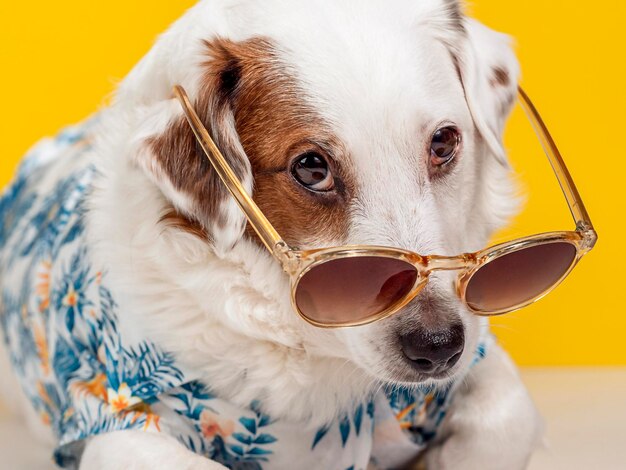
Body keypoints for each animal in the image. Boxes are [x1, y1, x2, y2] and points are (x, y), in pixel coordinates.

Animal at [0, 0, 540, 470]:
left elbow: (505, 418)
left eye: (444, 143)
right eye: (311, 167)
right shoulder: (116, 422)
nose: (438, 344)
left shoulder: (478, 359)